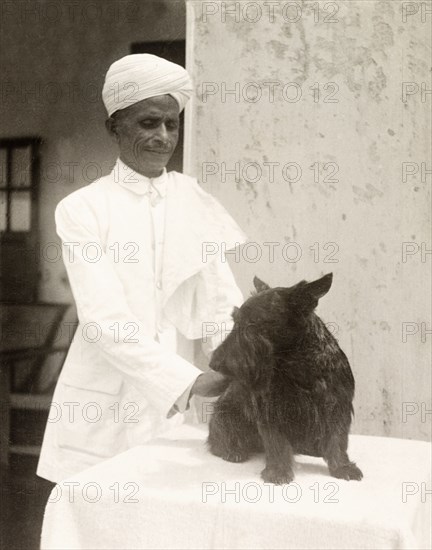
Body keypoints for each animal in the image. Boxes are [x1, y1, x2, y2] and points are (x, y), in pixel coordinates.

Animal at [208, 274, 362, 486]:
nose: (214, 363)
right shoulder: (271, 412)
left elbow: (337, 440)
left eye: (253, 323)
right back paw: (233, 450)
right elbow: (276, 443)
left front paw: (343, 467)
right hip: (224, 414)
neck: (296, 363)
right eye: (235, 320)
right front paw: (278, 471)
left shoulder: (337, 407)